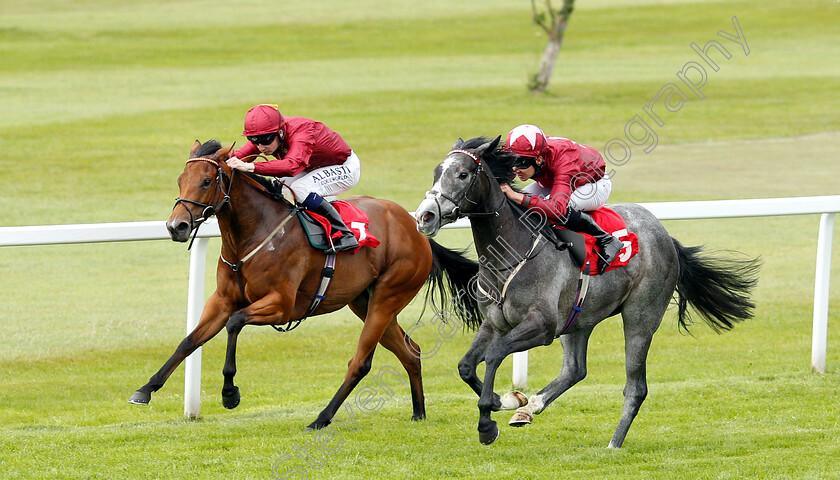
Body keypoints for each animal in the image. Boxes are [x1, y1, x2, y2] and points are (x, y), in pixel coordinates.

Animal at [132, 138, 486, 428]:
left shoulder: (281, 305)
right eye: (180, 180)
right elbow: (189, 341)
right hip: (365, 301)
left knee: (360, 362)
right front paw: (145, 389)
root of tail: (417, 229)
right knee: (410, 351)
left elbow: (235, 323)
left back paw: (321, 418)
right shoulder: (221, 300)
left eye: (206, 181)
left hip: (389, 294)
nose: (176, 226)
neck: (254, 234)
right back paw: (420, 411)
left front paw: (230, 393)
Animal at [414, 137, 760, 448]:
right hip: (578, 319)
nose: (425, 216)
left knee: (636, 387)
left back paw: (614, 443)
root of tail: (664, 234)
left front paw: (488, 421)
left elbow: (496, 354)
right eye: (435, 172)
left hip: (641, 316)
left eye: (462, 174)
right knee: (575, 369)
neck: (512, 250)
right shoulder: (495, 322)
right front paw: (510, 400)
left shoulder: (542, 326)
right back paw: (531, 408)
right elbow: (466, 366)